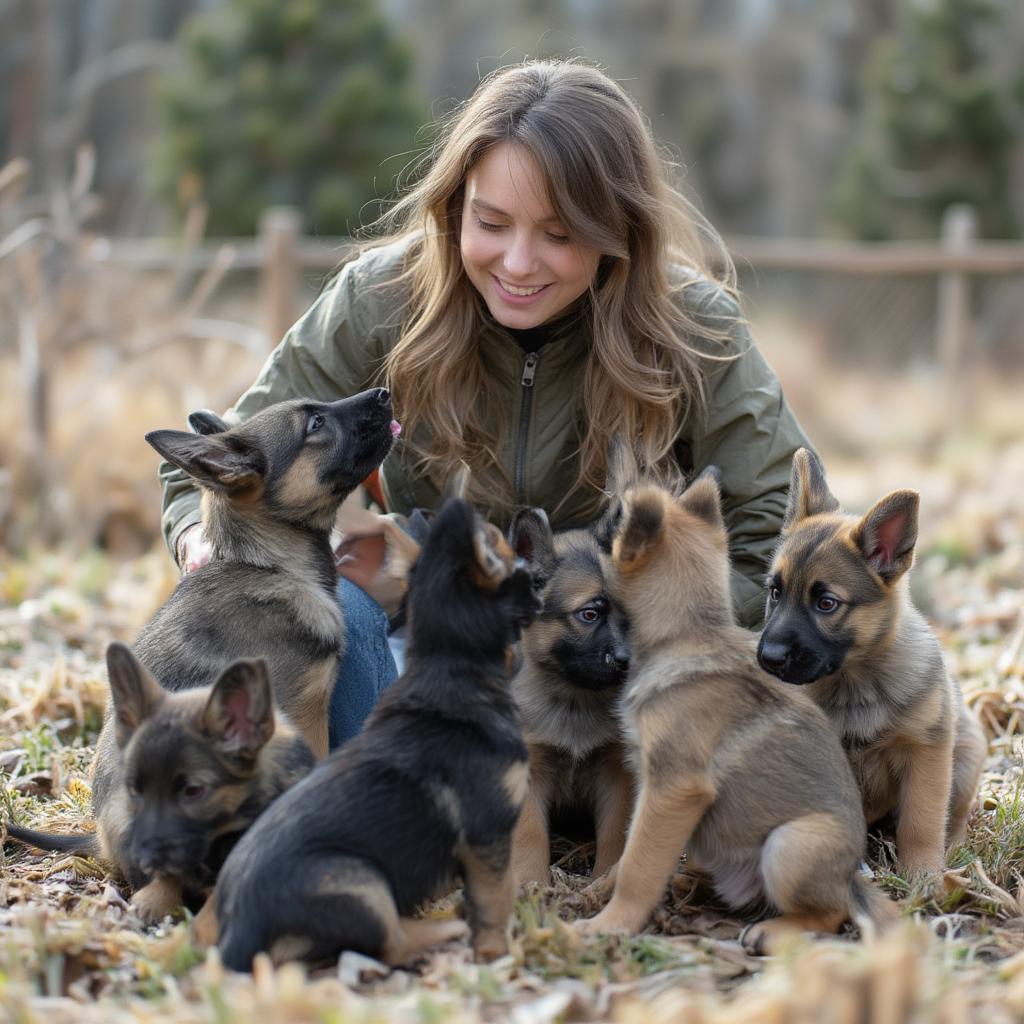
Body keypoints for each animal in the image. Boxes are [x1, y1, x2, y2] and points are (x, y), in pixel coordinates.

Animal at [211, 499, 540, 970]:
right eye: (501, 546)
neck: (448, 665)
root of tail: (241, 923)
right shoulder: (489, 834)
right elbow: (498, 896)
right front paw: (499, 950)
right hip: (361, 879)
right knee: (391, 944)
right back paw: (440, 933)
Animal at [505, 512, 630, 888]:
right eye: (590, 615)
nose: (627, 660)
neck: (578, 698)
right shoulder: (530, 774)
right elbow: (530, 835)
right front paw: (533, 885)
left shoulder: (615, 774)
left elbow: (614, 833)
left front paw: (604, 879)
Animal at [573, 468, 892, 950]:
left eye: (613, 524)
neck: (689, 634)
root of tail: (851, 880)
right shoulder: (649, 785)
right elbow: (630, 848)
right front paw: (600, 891)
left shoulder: (672, 788)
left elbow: (639, 864)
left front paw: (610, 924)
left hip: (790, 845)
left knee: (831, 913)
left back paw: (771, 932)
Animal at [757, 444, 987, 876]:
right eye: (775, 592)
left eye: (826, 603)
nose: (768, 657)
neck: (856, 682)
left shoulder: (926, 755)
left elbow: (921, 822)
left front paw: (924, 877)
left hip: (966, 754)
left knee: (956, 815)